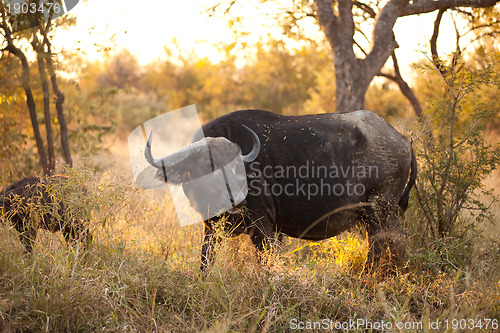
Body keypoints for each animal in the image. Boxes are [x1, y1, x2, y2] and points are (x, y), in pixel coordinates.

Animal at [143, 109, 416, 270]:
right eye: (205, 165)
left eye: (234, 166)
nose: (235, 199)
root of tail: (402, 139)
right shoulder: (211, 229)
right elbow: (204, 261)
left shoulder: (264, 227)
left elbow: (266, 262)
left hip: (381, 211)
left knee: (392, 243)